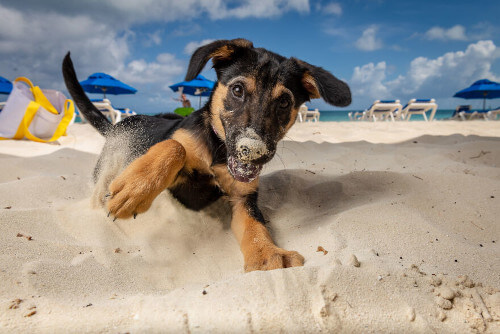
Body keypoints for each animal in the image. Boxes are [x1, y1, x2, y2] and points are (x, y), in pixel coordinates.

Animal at [63, 38, 352, 272]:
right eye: (237, 90)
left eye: (284, 102)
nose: (252, 151)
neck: (218, 152)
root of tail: (115, 127)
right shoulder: (177, 168)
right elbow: (175, 146)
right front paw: (135, 189)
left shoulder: (242, 199)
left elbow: (255, 226)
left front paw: (268, 254)